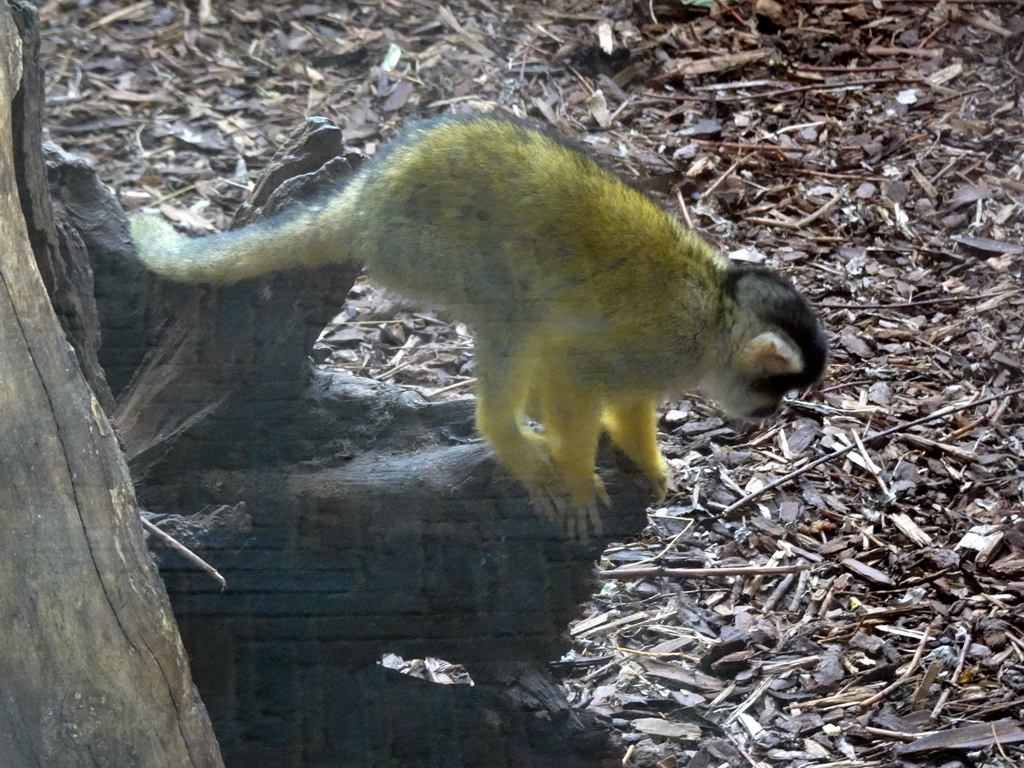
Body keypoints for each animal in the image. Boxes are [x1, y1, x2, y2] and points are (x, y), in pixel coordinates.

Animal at [130, 114, 831, 536]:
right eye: (774, 389)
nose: (768, 415)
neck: (717, 316)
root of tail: (365, 198)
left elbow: (619, 396)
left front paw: (642, 457)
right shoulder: (669, 339)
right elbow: (575, 371)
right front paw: (578, 475)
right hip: (431, 248)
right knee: (515, 312)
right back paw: (507, 436)